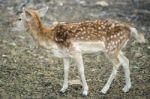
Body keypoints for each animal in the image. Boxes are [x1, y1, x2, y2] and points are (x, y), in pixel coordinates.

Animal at [12, 6, 145, 96]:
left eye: (19, 18)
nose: (10, 25)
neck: (51, 38)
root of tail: (130, 29)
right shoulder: (66, 55)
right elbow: (65, 70)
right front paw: (63, 89)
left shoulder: (76, 51)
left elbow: (81, 70)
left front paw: (85, 91)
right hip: (117, 48)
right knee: (126, 60)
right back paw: (126, 88)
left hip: (111, 48)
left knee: (117, 63)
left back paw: (104, 90)